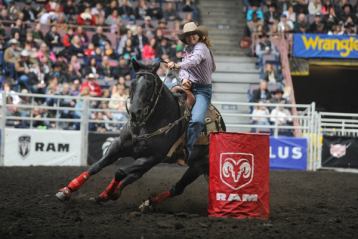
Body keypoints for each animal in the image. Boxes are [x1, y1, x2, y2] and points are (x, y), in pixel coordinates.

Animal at [55, 58, 225, 208]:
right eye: (132, 84)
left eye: (149, 85)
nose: (135, 113)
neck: (145, 124)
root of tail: (221, 126)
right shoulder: (118, 146)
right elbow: (96, 167)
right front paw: (67, 190)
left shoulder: (151, 157)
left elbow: (119, 172)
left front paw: (109, 193)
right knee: (135, 176)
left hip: (198, 165)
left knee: (176, 188)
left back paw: (147, 203)